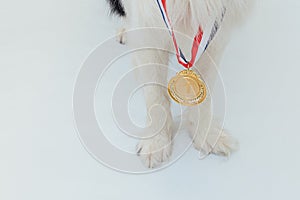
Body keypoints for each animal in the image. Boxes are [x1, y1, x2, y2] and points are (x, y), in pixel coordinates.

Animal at [106, 0, 250, 168]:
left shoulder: (215, 32)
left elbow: (204, 98)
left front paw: (207, 136)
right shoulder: (148, 29)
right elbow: (155, 96)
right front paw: (155, 144)